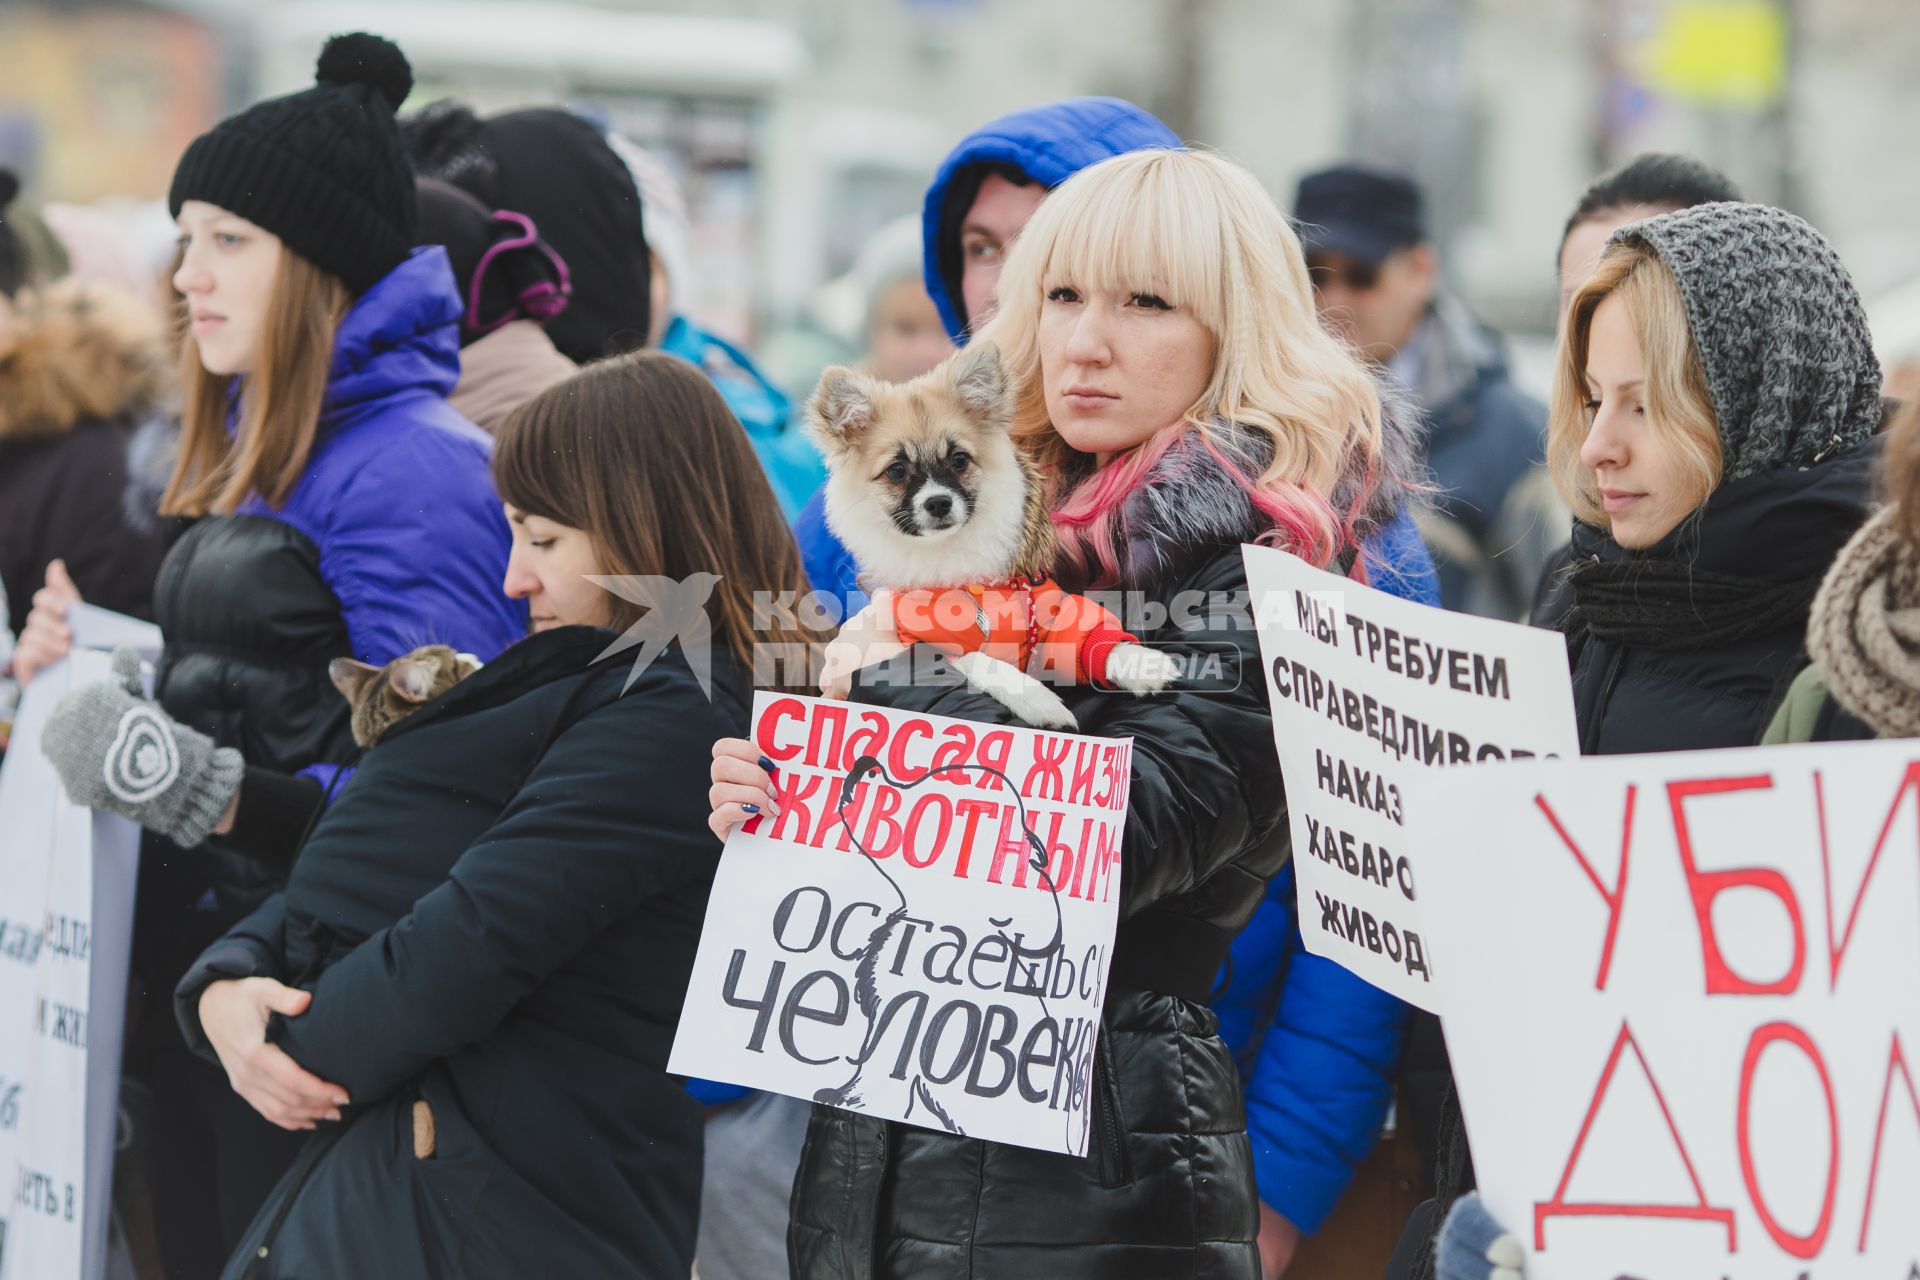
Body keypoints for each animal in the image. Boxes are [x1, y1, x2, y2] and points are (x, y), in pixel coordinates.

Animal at [806, 337, 1175, 729]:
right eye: (896, 471)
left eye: (959, 460)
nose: (938, 502)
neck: (969, 579)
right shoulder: (926, 642)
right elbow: (980, 660)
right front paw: (1038, 701)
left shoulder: (1043, 614)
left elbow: (1082, 634)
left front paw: (1139, 663)